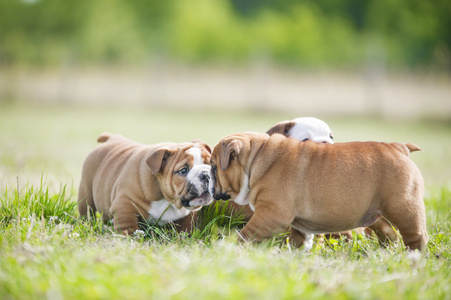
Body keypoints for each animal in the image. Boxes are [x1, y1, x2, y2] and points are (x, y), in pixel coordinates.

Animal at [78, 132, 215, 233]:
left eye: (211, 165)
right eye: (183, 170)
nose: (206, 175)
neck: (168, 200)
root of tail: (110, 138)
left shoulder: (190, 213)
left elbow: (187, 223)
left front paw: (185, 235)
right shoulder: (124, 203)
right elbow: (126, 222)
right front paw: (129, 236)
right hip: (86, 191)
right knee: (86, 209)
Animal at [210, 132, 430, 252]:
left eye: (213, 166)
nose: (207, 175)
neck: (258, 158)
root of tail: (399, 147)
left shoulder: (270, 216)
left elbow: (247, 234)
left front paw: (232, 246)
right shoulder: (295, 226)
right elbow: (297, 241)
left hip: (403, 207)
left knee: (416, 235)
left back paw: (413, 258)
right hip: (376, 212)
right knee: (388, 232)